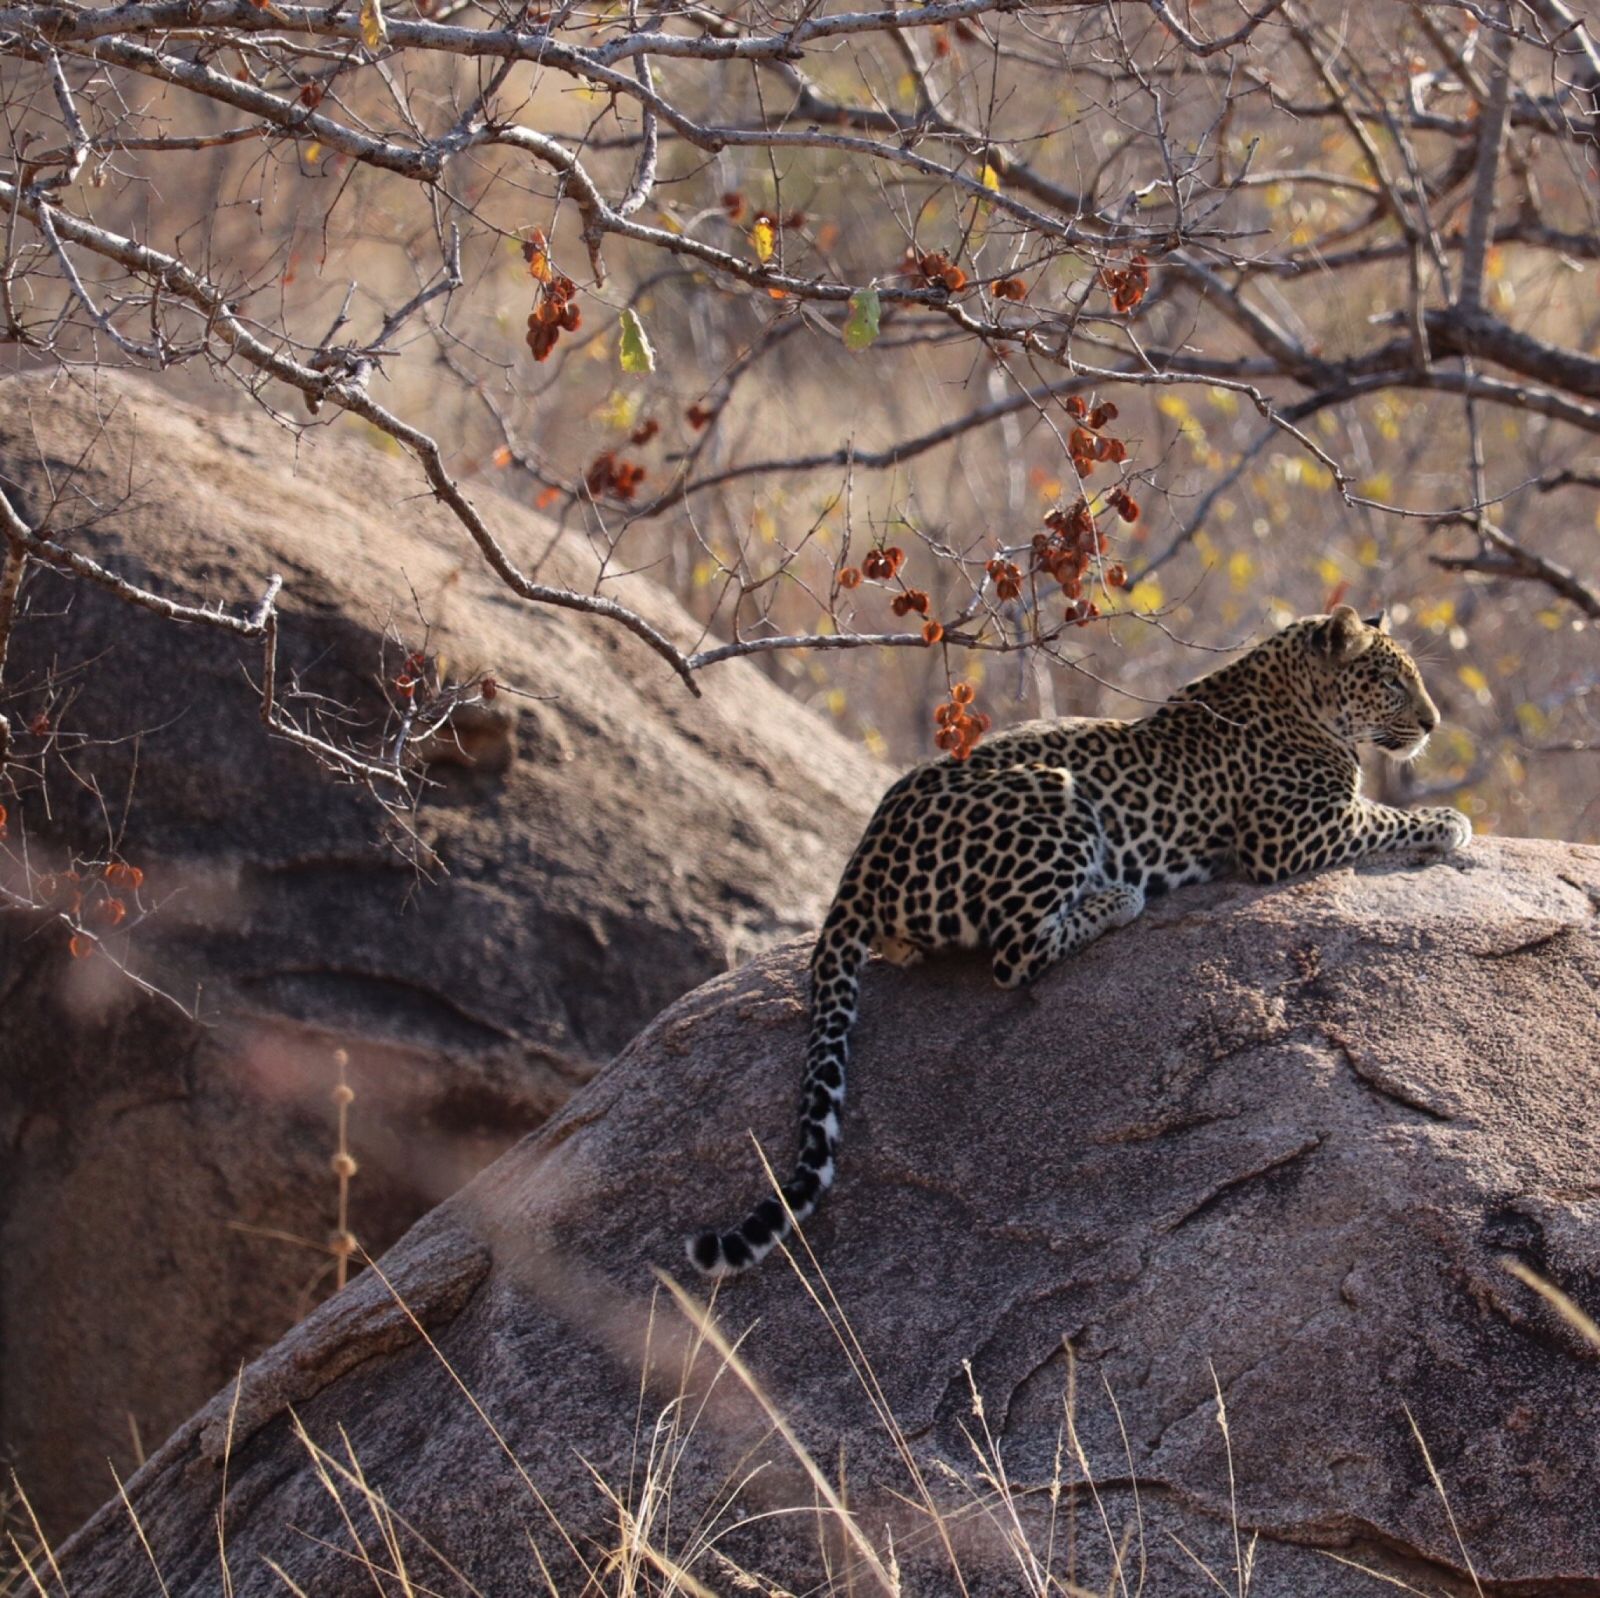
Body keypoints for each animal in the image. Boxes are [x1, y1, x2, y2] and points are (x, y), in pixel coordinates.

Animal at [687, 605, 1471, 1277]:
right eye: (1393, 682)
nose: (1433, 723)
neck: (1298, 693)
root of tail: (862, 856)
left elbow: (1380, 812)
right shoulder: (1293, 833)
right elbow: (1385, 818)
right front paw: (1450, 821)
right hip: (1050, 792)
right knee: (1012, 955)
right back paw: (1116, 897)